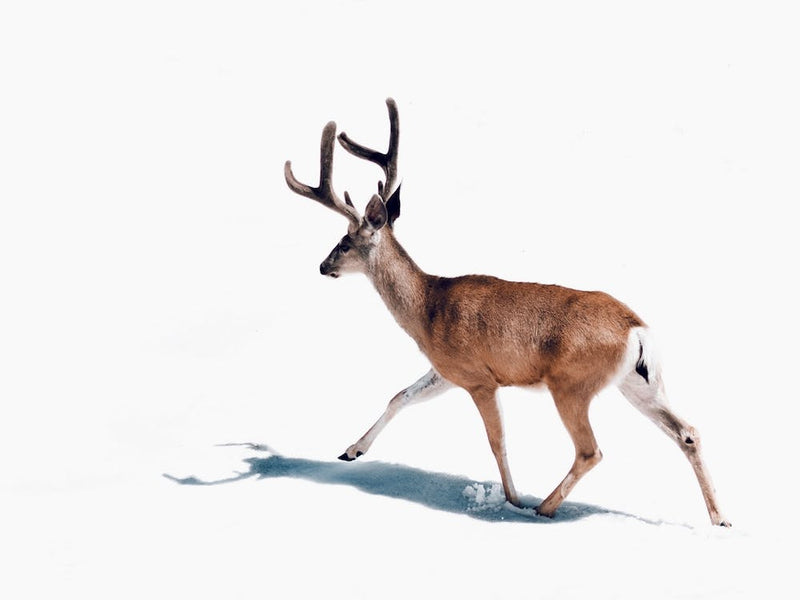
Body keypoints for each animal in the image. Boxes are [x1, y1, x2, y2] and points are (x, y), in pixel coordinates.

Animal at [284, 98, 730, 527]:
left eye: (344, 242)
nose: (322, 266)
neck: (428, 308)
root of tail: (637, 330)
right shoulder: (447, 370)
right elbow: (399, 396)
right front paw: (351, 450)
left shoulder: (480, 378)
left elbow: (496, 441)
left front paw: (512, 499)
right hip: (639, 382)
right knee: (687, 432)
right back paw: (720, 518)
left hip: (572, 384)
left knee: (591, 450)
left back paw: (542, 508)